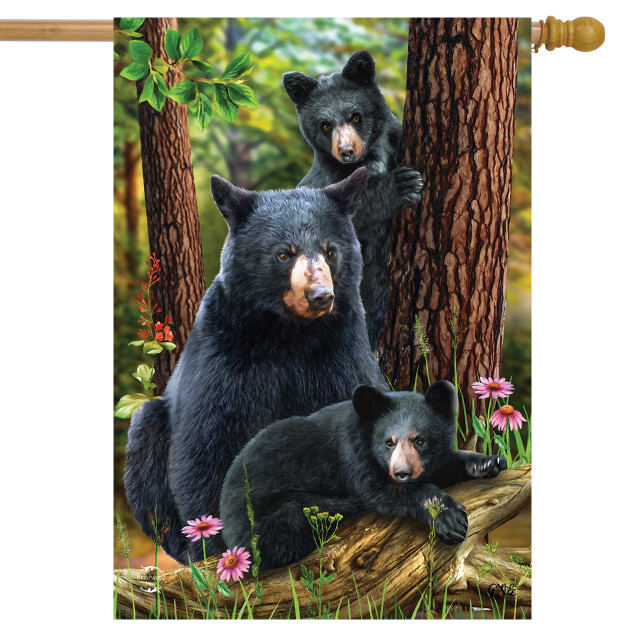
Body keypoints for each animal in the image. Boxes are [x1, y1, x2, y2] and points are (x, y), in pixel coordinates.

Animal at [124, 167, 388, 565]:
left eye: (330, 250)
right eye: (283, 254)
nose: (321, 296)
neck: (288, 334)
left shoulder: (341, 348)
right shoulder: (225, 349)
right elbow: (209, 440)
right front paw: (219, 544)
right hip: (151, 431)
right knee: (147, 440)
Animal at [219, 380, 507, 570]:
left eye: (420, 440)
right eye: (389, 442)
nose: (402, 473)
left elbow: (445, 463)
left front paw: (488, 462)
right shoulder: (352, 454)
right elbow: (379, 491)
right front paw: (448, 518)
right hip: (269, 519)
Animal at [283, 50, 424, 350]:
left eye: (356, 116)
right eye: (325, 124)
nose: (347, 151)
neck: (368, 160)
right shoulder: (326, 181)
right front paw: (404, 184)